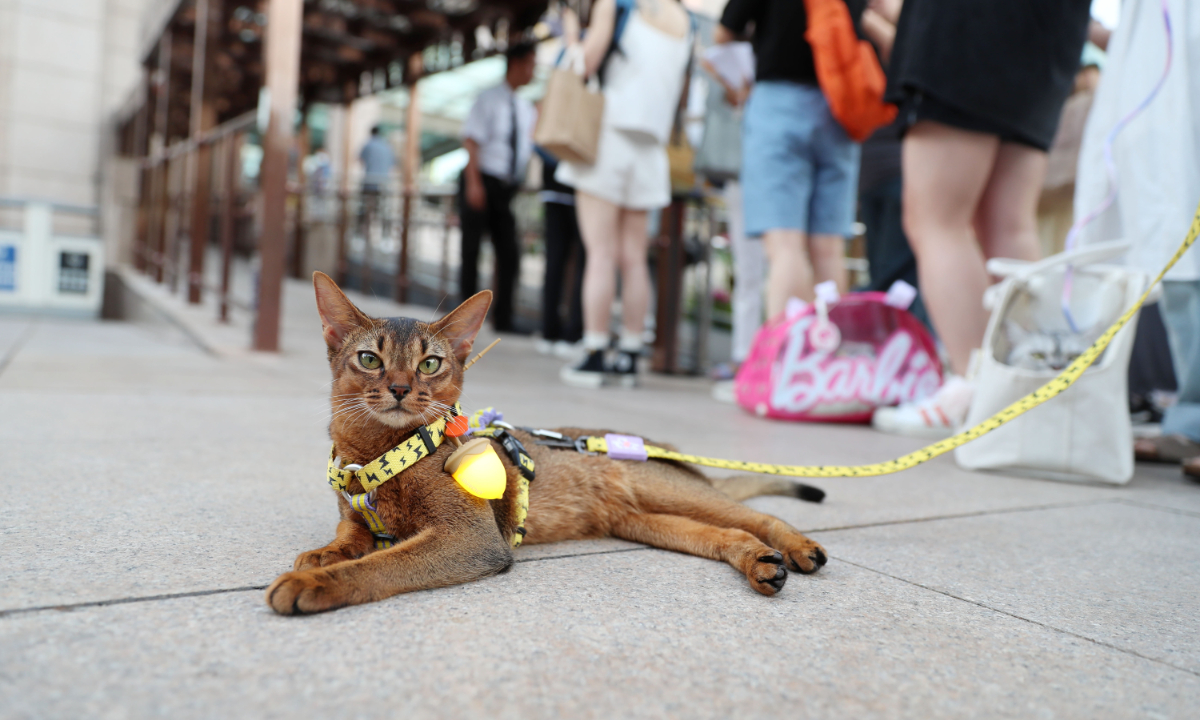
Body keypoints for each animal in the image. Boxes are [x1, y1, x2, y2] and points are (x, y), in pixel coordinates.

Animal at [264, 272, 830, 614]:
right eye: (369, 359)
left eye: (430, 363)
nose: (402, 389)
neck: (379, 454)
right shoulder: (359, 515)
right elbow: (349, 536)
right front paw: (322, 556)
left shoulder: (472, 539)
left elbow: (380, 564)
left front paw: (313, 585)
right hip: (644, 522)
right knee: (723, 533)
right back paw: (761, 564)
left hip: (668, 491)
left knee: (757, 516)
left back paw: (798, 547)